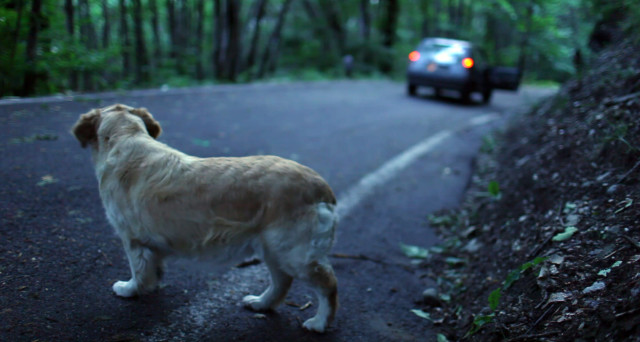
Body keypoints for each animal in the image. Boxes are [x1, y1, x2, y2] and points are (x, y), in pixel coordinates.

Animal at [71, 103, 340, 332]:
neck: (126, 135)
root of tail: (322, 187)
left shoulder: (132, 238)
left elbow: (138, 269)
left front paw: (130, 289)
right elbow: (153, 269)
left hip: (294, 252)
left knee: (328, 284)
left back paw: (319, 323)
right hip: (272, 248)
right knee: (282, 282)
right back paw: (261, 303)